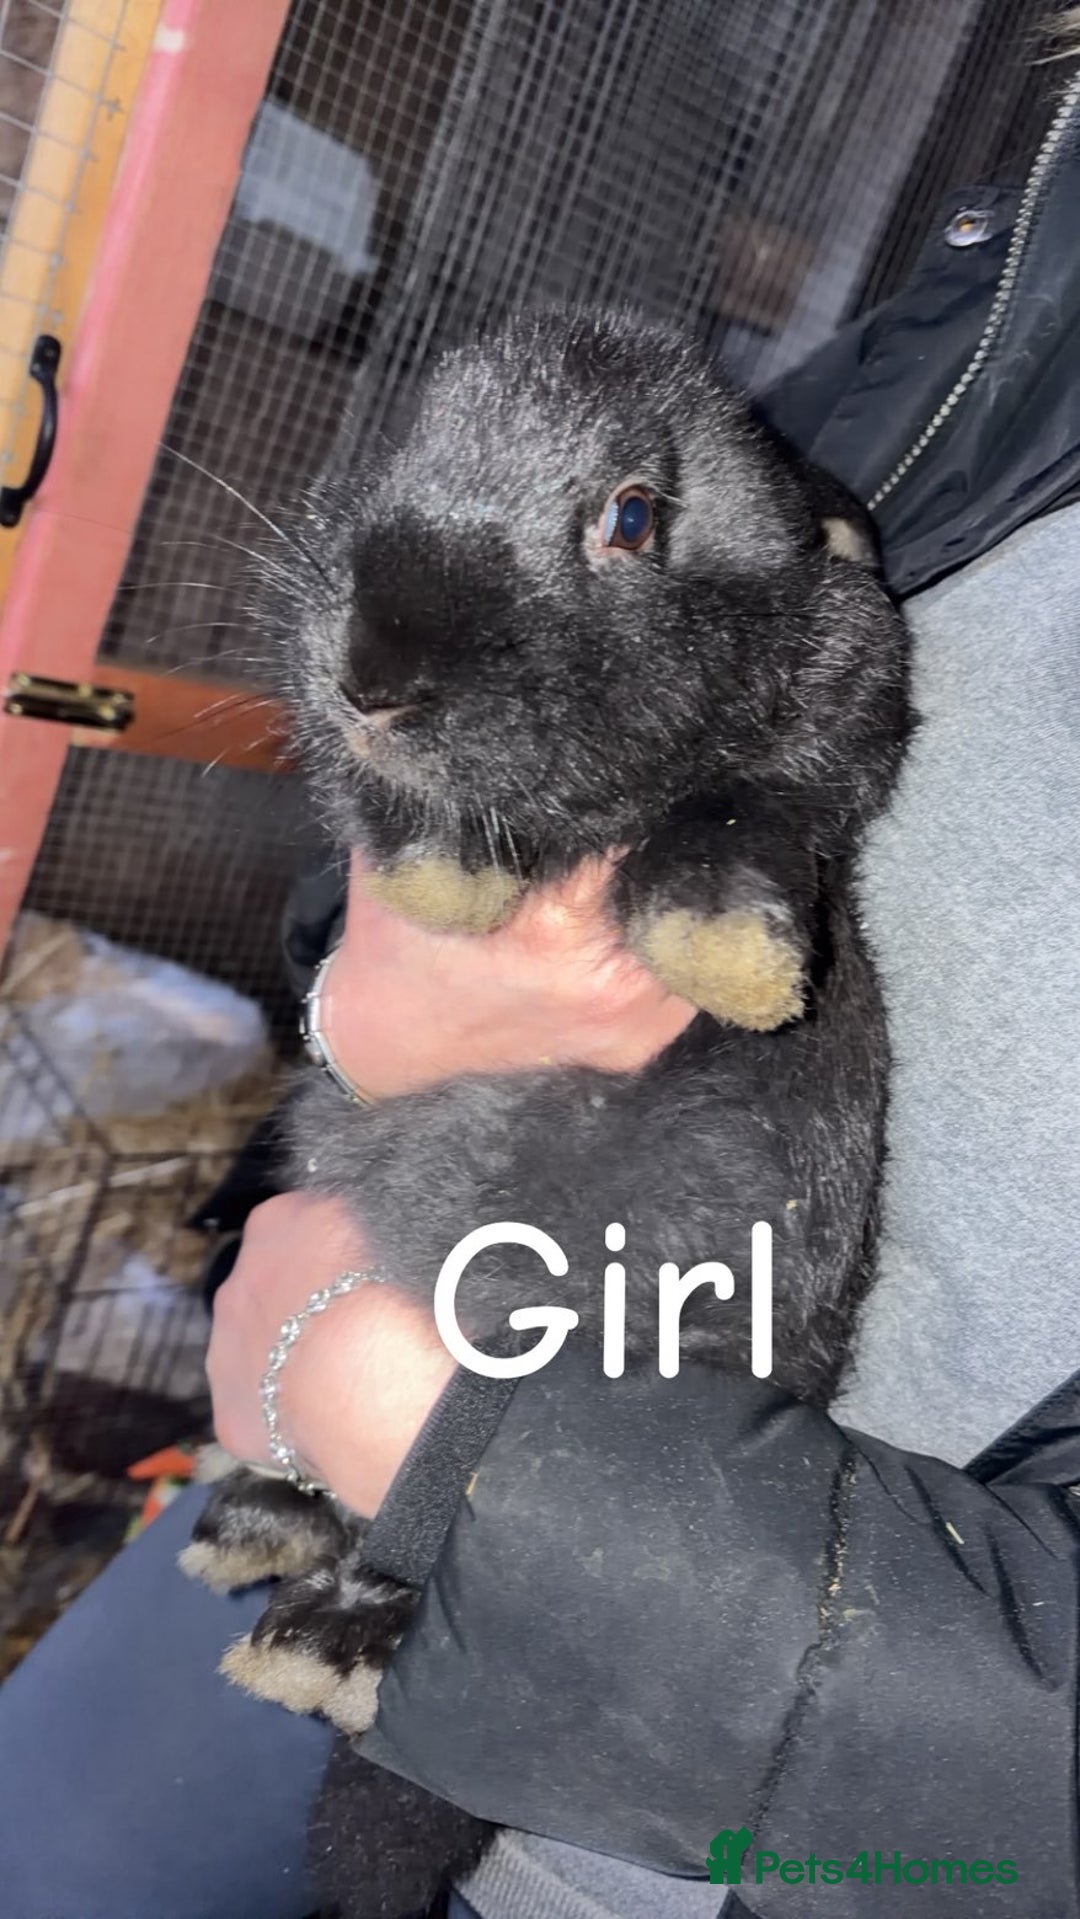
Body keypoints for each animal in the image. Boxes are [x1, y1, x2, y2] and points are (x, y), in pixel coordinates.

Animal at [182, 309, 911, 1919]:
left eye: (631, 518)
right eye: (403, 439)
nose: (375, 672)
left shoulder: (829, 716)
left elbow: (752, 809)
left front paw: (730, 955)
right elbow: (400, 822)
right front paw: (446, 866)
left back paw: (324, 1647)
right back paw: (252, 1532)